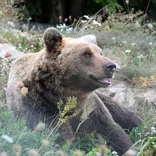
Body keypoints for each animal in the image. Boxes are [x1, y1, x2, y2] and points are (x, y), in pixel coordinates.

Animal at [6, 27, 142, 155]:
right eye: (87, 53)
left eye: (100, 53)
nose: (111, 66)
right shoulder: (42, 105)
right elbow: (59, 138)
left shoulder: (91, 109)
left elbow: (113, 132)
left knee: (125, 114)